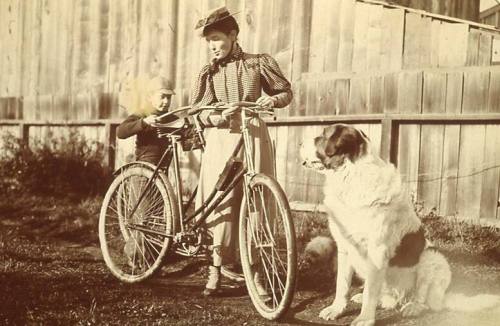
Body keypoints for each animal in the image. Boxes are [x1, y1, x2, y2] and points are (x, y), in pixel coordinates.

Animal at [300, 123, 500, 324]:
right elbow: (342, 284)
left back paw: (413, 307)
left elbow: (370, 291)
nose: (299, 143)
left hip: (432, 258)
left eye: (322, 136)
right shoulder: (344, 247)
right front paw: (336, 309)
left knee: (424, 299)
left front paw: (365, 319)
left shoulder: (376, 250)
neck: (351, 177)